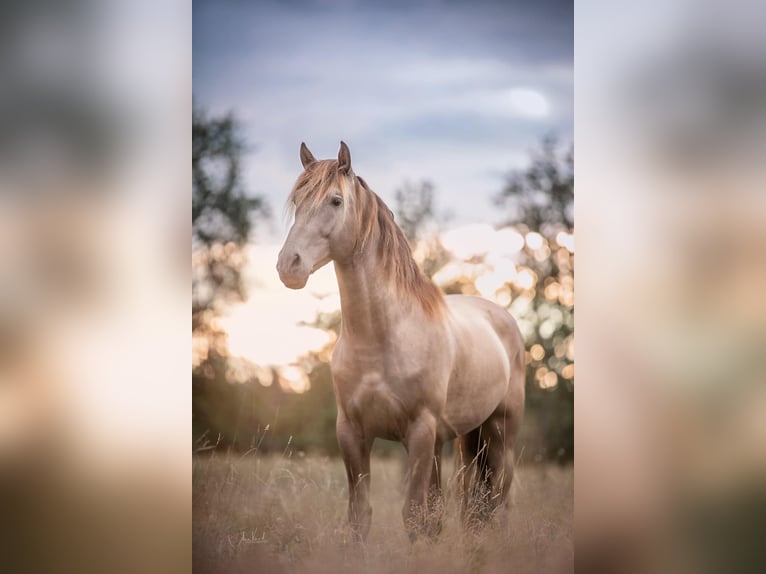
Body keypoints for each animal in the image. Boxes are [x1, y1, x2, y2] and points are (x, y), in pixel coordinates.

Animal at [278, 142, 528, 544]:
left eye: (335, 200)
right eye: (298, 201)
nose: (289, 265)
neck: (382, 338)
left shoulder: (420, 432)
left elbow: (412, 516)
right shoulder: (352, 433)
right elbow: (361, 516)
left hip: (500, 433)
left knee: (499, 500)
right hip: (458, 439)